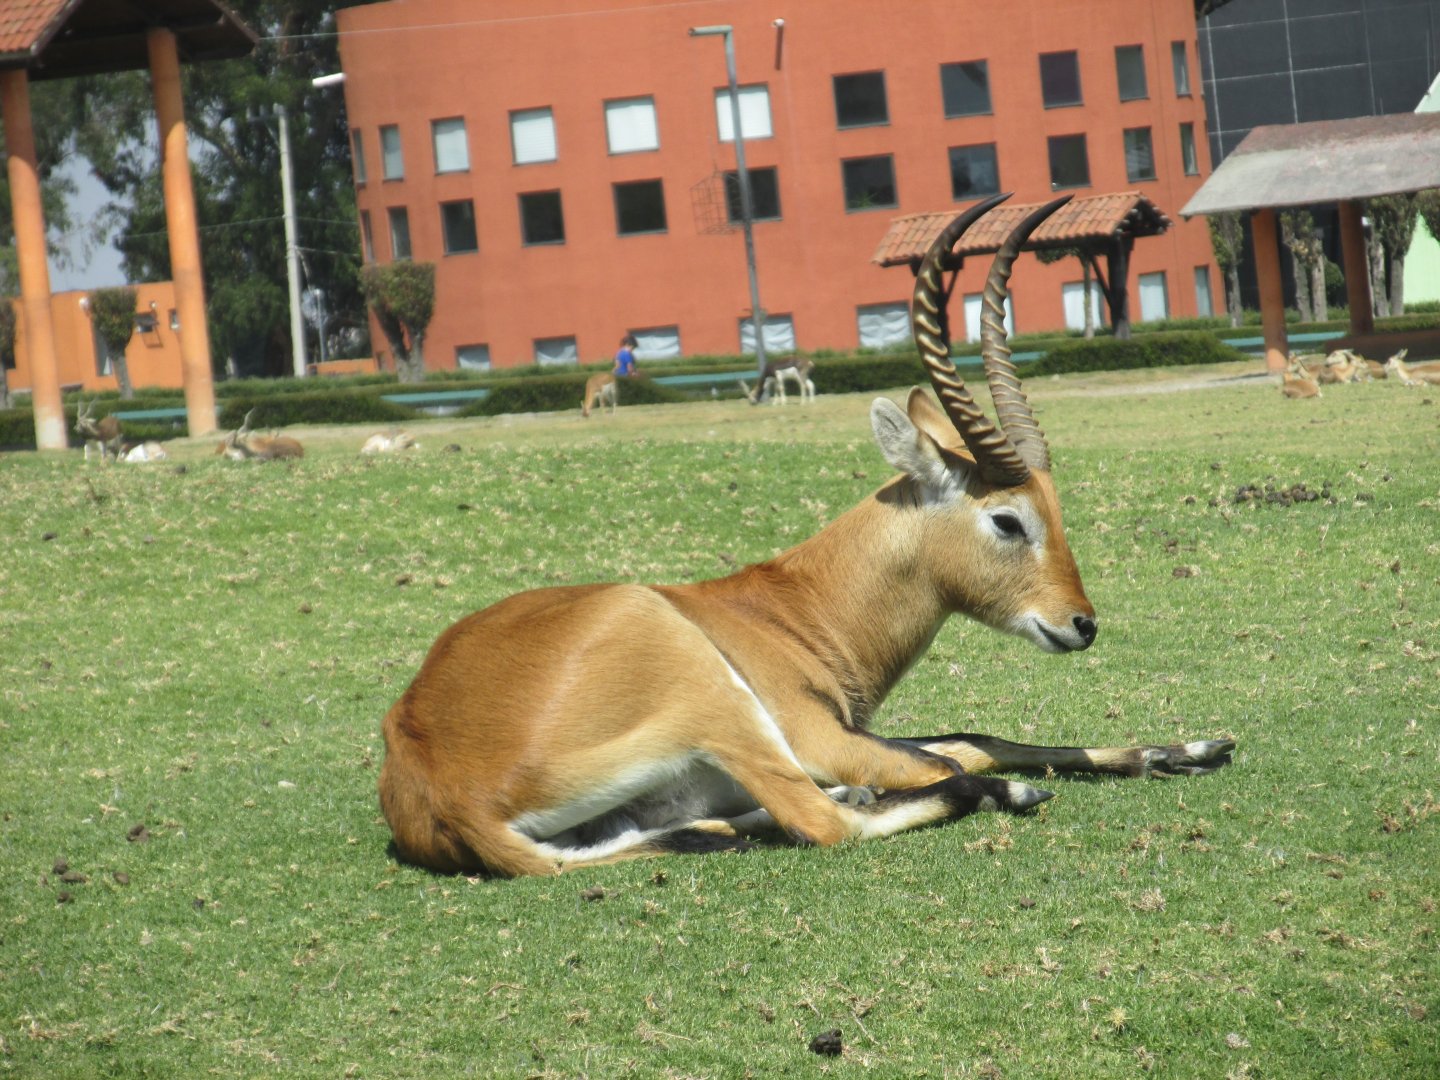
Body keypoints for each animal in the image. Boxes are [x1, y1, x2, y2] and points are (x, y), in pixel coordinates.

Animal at [378, 193, 1235, 878]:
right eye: (1007, 517)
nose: (1081, 623)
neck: (792, 608)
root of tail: (432, 772)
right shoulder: (822, 732)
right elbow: (954, 748)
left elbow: (973, 730)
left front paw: (1185, 750)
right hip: (721, 705)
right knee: (829, 816)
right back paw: (992, 794)